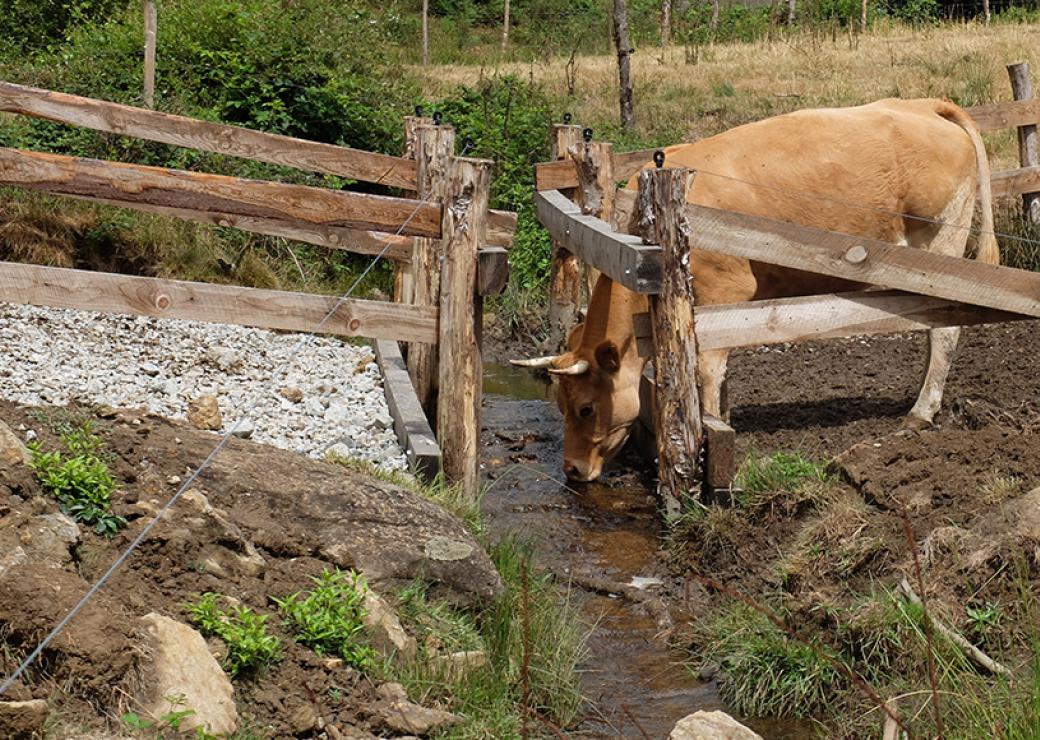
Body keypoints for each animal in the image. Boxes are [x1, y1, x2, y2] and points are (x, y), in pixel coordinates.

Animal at [515, 96, 994, 480]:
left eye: (586, 408)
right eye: (561, 406)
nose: (573, 470)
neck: (639, 248)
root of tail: (923, 104)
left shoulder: (725, 289)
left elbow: (706, 369)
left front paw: (708, 431)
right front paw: (722, 416)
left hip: (940, 243)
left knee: (945, 329)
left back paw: (921, 411)